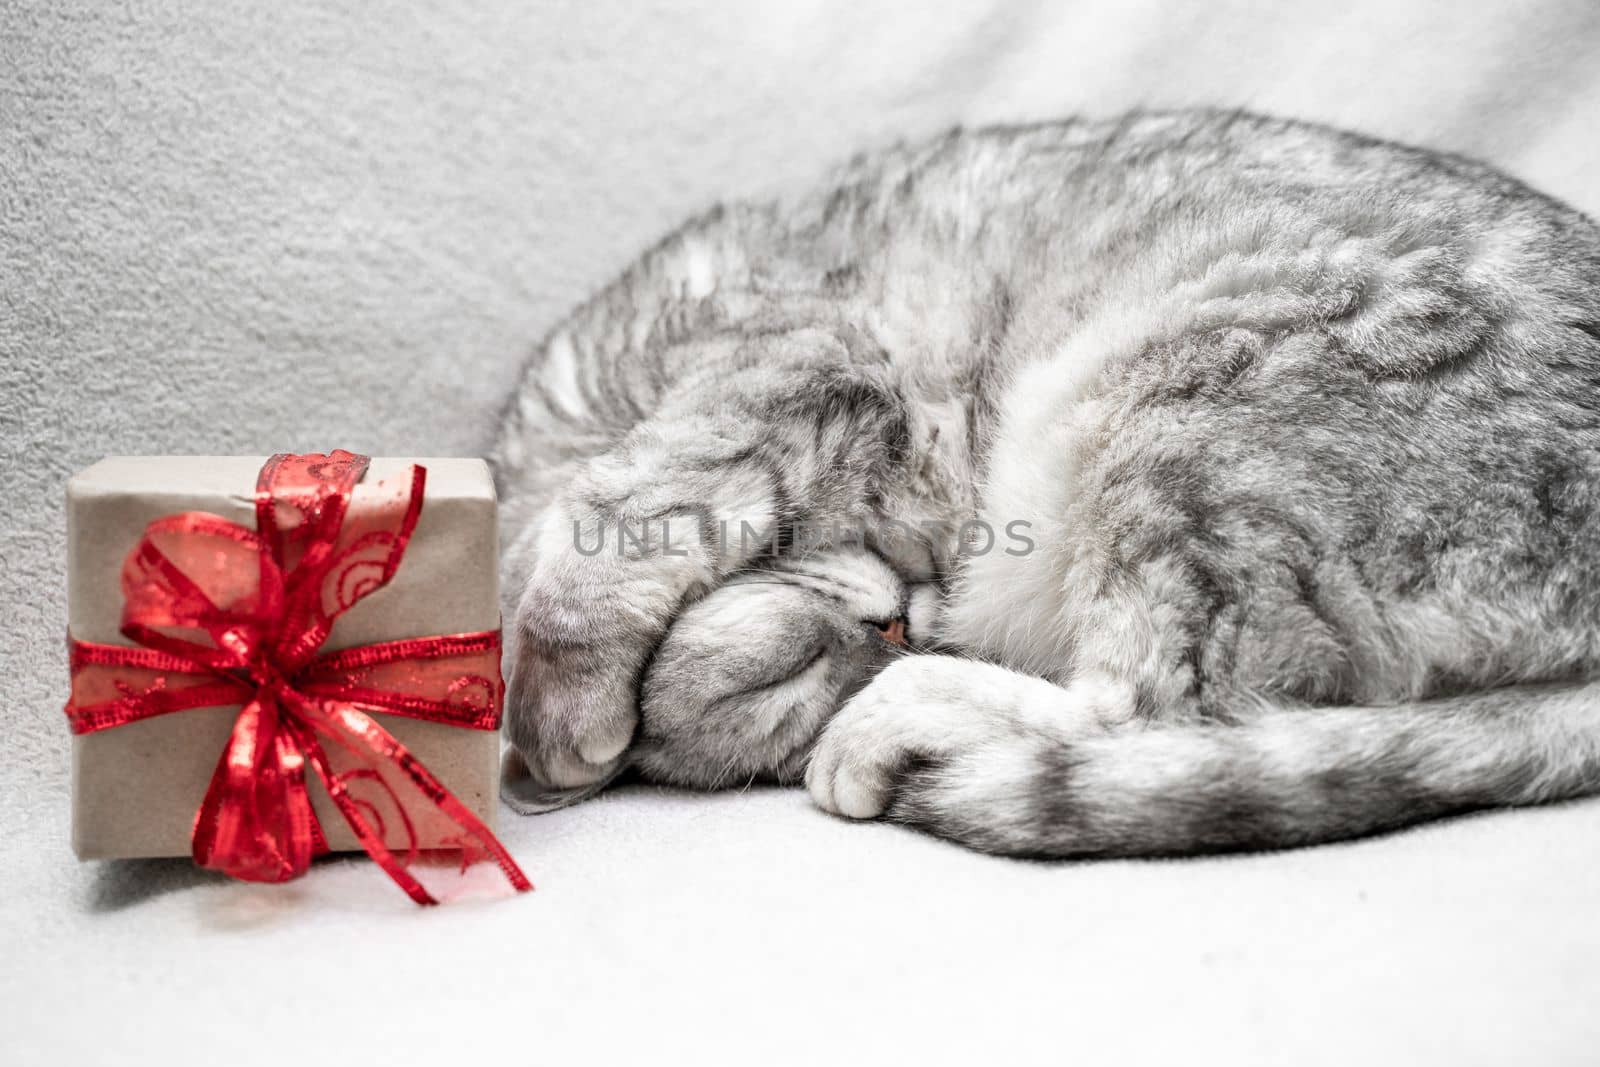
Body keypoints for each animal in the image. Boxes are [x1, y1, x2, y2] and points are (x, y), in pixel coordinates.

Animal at [486, 108, 1600, 857]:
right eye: (791, 684)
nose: (898, 631)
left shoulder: (795, 366)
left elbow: (621, 524)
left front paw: (560, 715)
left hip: (1187, 411)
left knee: (1158, 711)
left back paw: (904, 720)